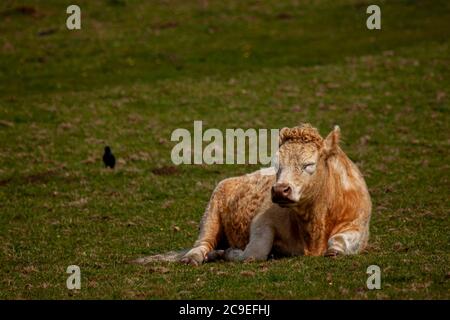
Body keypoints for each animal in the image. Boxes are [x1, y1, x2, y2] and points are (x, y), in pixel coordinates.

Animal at [134, 124, 372, 266]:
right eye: (276, 164)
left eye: (309, 165)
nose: (280, 190)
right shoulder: (261, 221)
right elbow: (254, 252)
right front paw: (232, 253)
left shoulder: (359, 226)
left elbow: (340, 241)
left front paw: (334, 250)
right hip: (210, 215)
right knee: (202, 244)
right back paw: (196, 257)